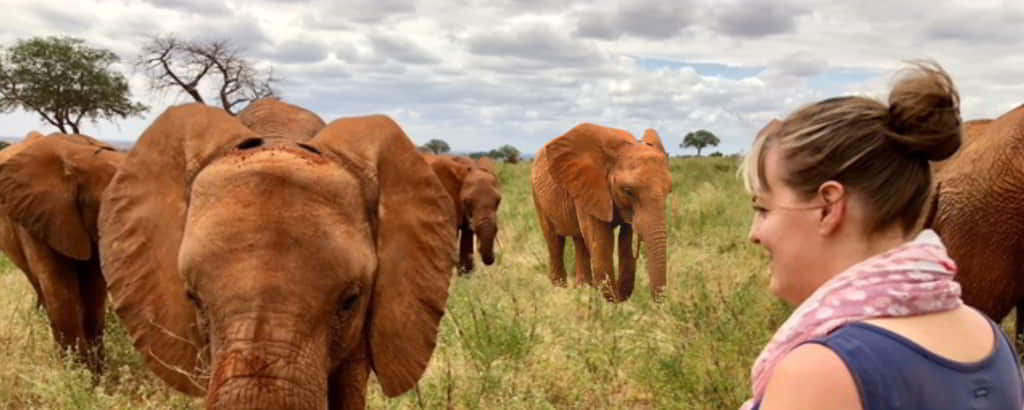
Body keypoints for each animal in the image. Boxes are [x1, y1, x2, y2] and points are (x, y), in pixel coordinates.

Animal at [531, 123, 671, 302]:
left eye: (669, 190)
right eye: (628, 191)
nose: (658, 302)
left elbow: (624, 239)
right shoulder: (589, 188)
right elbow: (602, 242)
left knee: (580, 241)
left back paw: (583, 289)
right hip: (537, 194)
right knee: (554, 241)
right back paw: (560, 289)